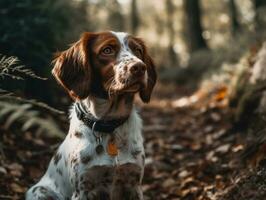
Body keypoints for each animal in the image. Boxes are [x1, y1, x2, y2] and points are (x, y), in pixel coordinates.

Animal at [25, 31, 156, 200]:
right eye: (107, 50)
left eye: (138, 50)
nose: (139, 67)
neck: (109, 125)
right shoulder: (82, 189)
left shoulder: (133, 184)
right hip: (39, 191)